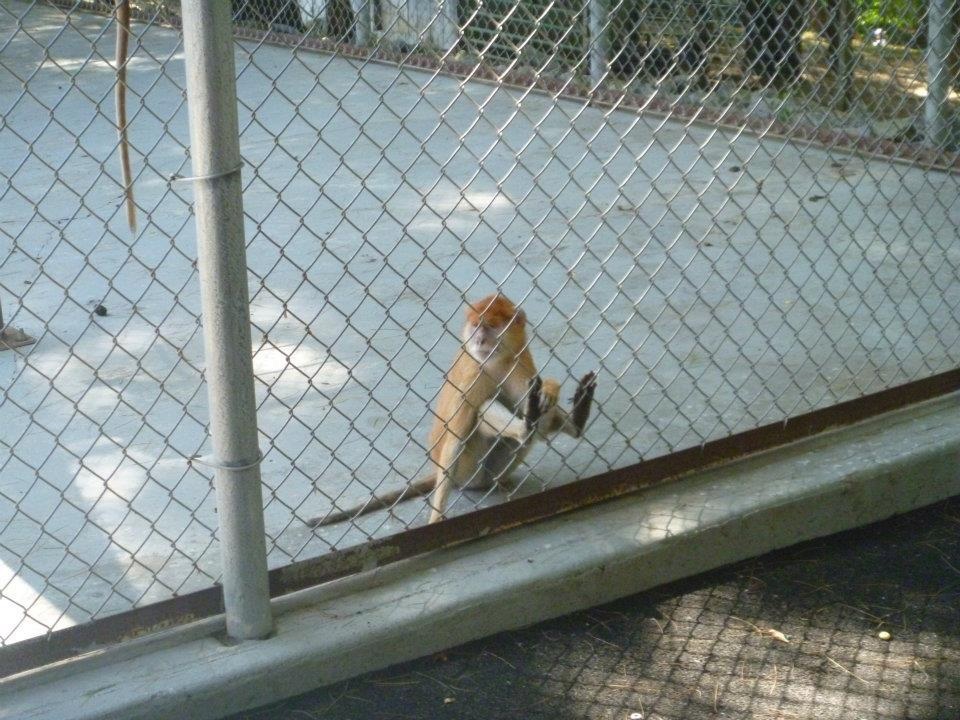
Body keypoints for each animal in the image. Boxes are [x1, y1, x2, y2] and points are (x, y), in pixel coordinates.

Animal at [307, 294, 596, 528]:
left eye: (492, 326)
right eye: (476, 325)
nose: (479, 339)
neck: (495, 361)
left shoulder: (518, 363)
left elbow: (540, 411)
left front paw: (550, 390)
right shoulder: (472, 375)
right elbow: (456, 438)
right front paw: (436, 519)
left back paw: (573, 420)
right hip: (468, 473)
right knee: (484, 411)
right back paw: (527, 428)